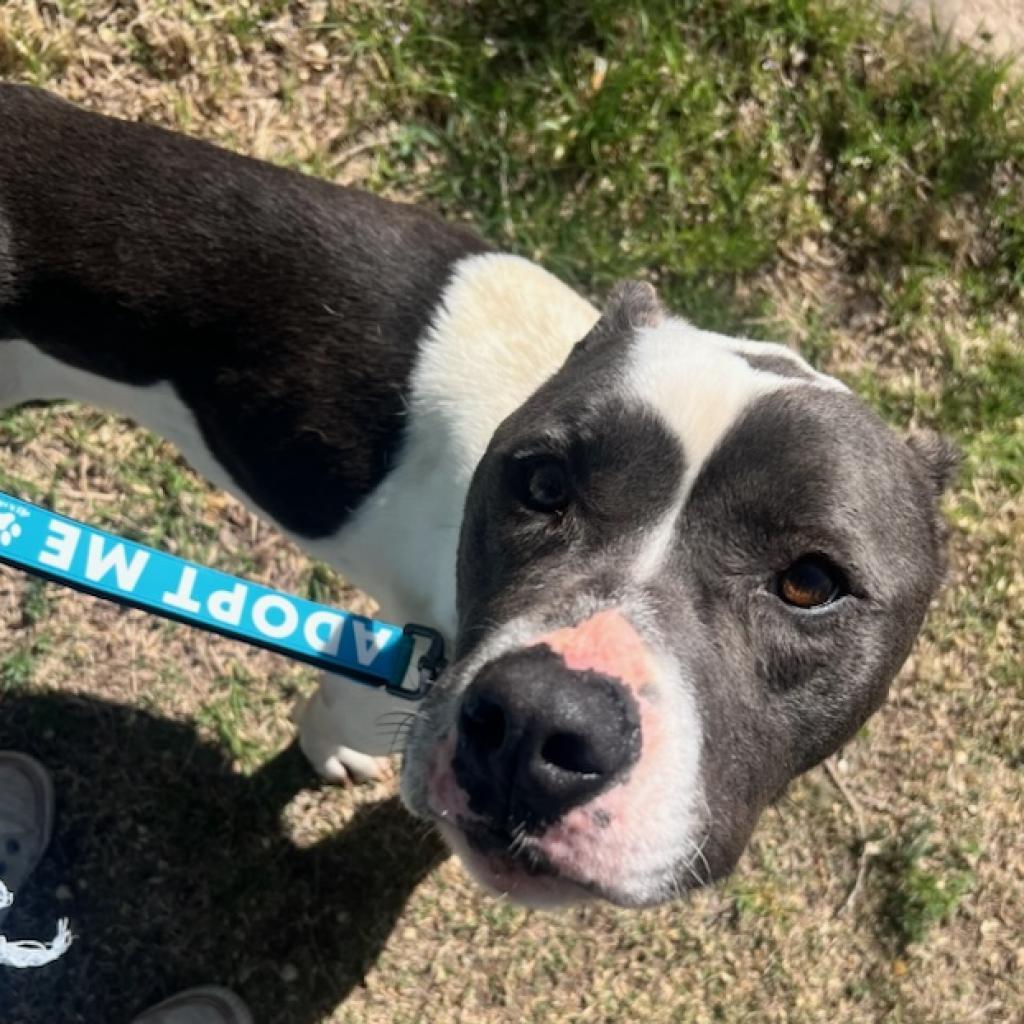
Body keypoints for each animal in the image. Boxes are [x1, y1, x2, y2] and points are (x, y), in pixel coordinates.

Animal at [2, 86, 958, 905]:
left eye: (811, 581)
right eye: (541, 483)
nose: (539, 726)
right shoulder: (406, 659)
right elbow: (346, 706)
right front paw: (329, 747)